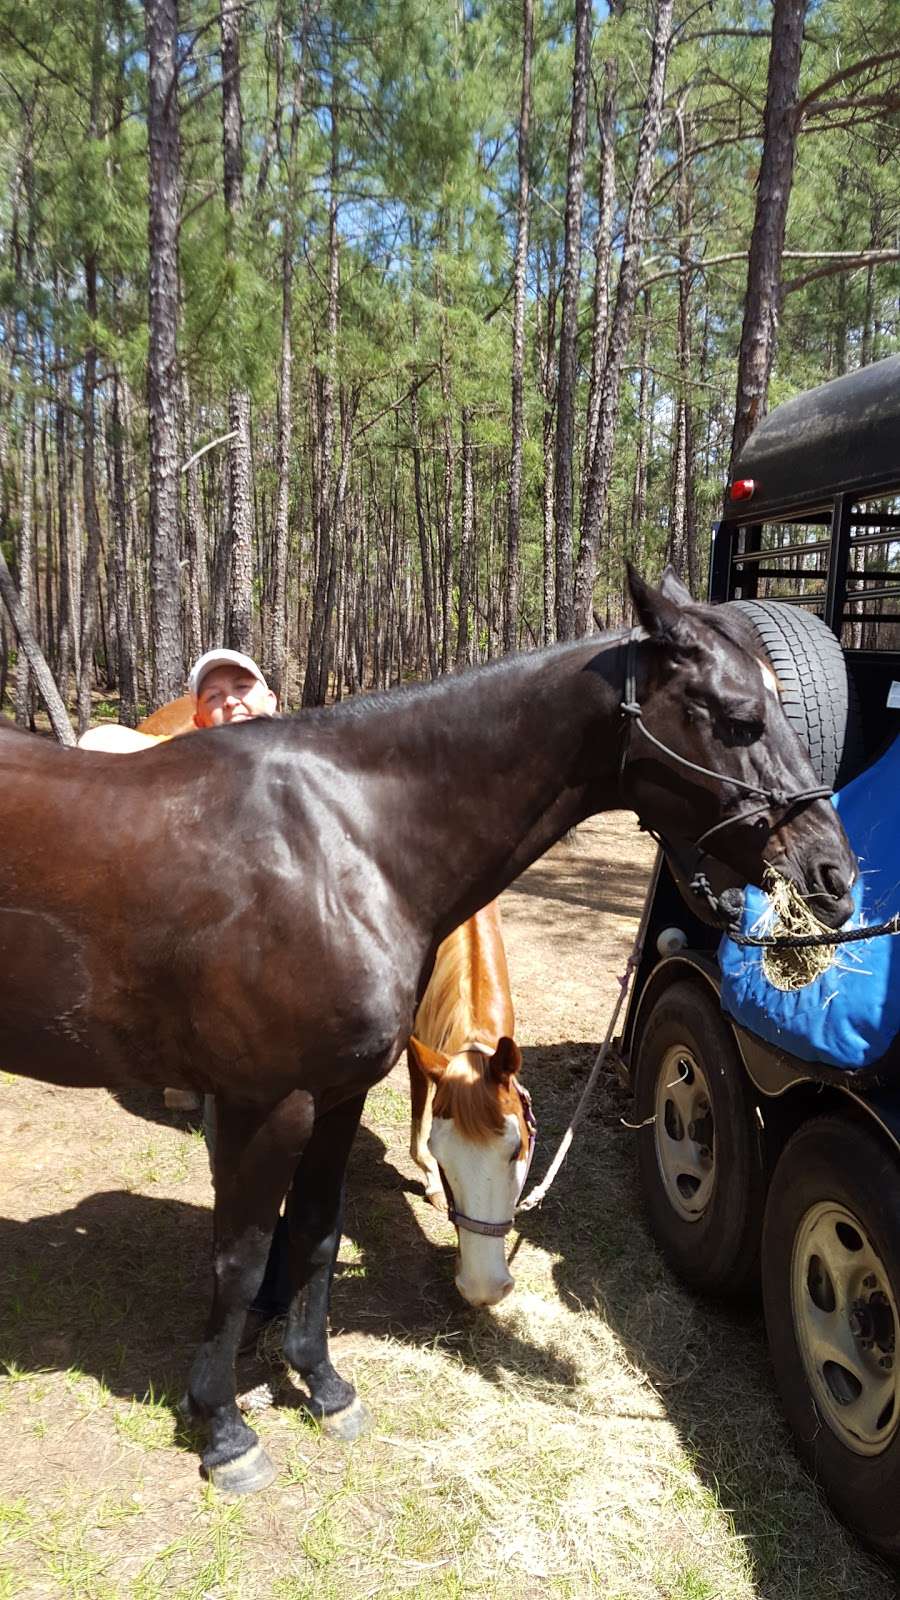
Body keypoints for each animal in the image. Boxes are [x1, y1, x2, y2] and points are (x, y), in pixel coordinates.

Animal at [1, 569, 851, 1491]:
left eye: (520, 1149)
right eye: (735, 717)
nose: (835, 877)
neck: (341, 843)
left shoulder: (335, 1094)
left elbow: (316, 1235)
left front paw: (324, 1385)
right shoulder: (268, 1103)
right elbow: (240, 1258)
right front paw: (224, 1429)